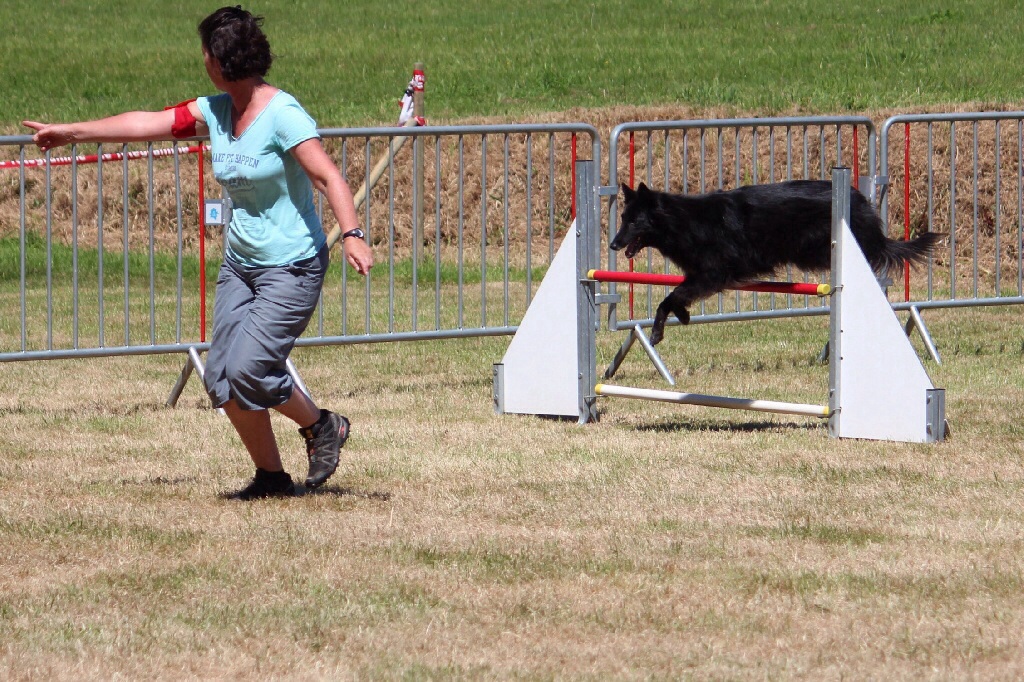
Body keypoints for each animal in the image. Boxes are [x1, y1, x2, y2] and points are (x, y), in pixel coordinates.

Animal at [610, 179, 937, 342]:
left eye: (634, 222)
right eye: (623, 218)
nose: (613, 244)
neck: (684, 220)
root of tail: (858, 200)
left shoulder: (713, 273)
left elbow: (672, 295)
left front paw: (658, 329)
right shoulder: (700, 275)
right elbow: (675, 295)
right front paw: (683, 315)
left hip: (815, 248)